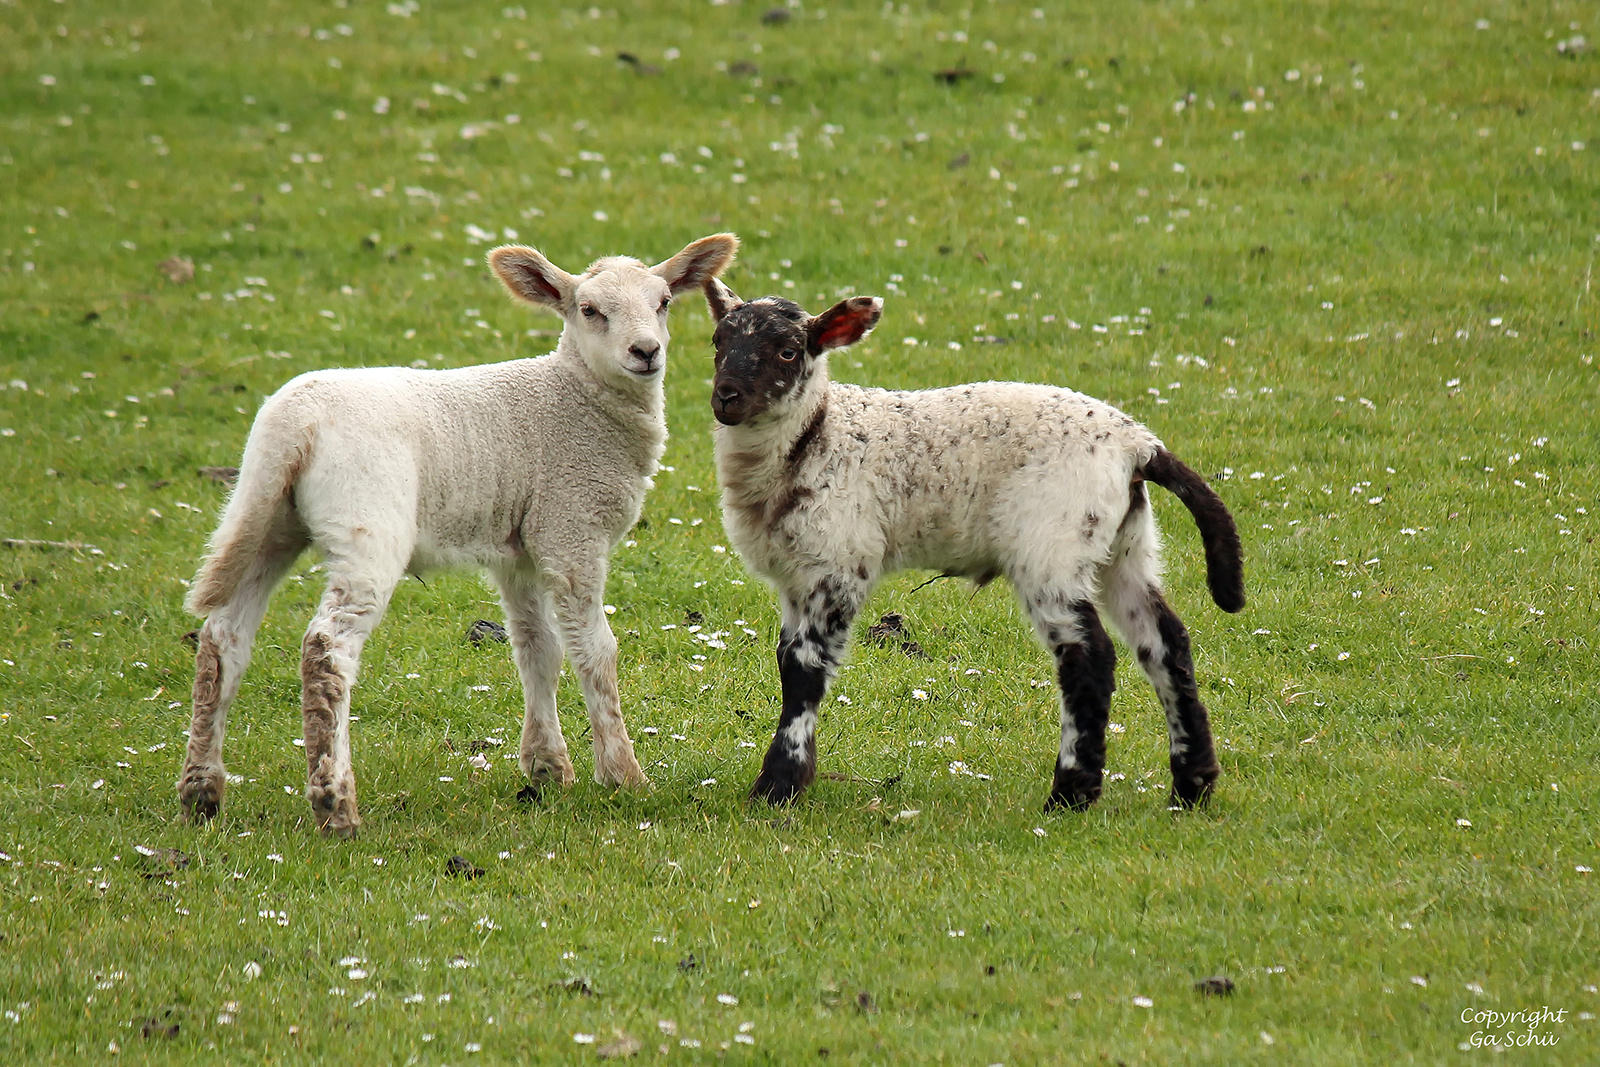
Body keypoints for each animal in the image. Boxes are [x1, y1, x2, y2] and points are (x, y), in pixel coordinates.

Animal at [707, 279, 1241, 812]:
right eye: (718, 342)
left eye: (788, 351)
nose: (726, 397)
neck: (813, 435)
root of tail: (1138, 444)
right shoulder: (796, 578)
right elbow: (786, 660)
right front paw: (789, 781)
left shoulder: (838, 564)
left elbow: (804, 670)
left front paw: (777, 787)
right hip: (1124, 544)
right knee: (1165, 642)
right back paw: (1191, 786)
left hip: (1054, 543)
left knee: (1089, 655)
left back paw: (1071, 794)